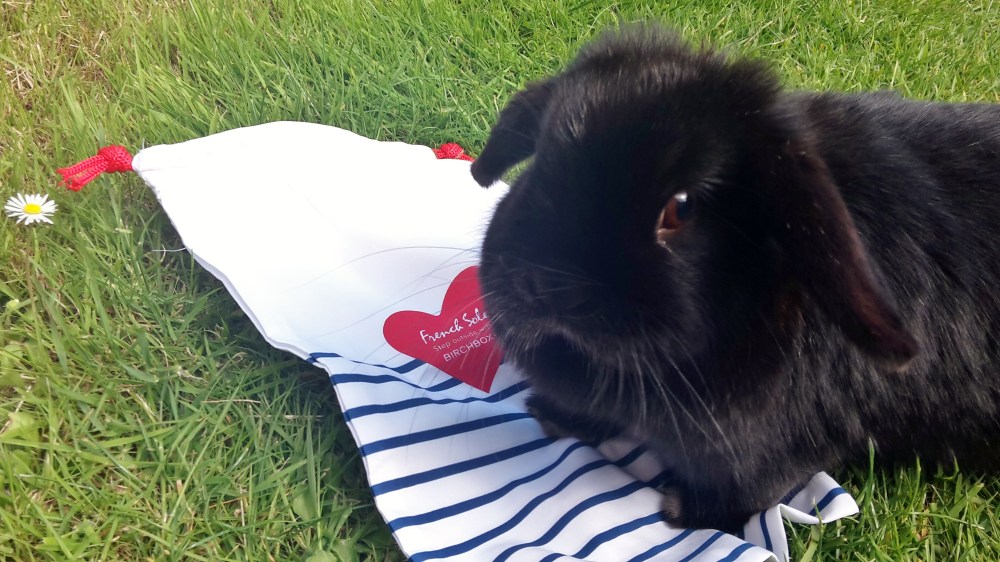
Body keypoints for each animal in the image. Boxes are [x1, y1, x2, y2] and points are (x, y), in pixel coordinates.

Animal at [470, 25, 1000, 533]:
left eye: (681, 207)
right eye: (540, 159)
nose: (543, 285)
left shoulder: (772, 454)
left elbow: (748, 493)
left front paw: (682, 513)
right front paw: (551, 414)